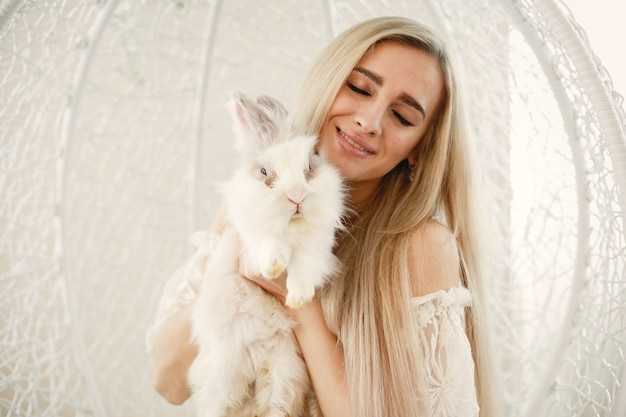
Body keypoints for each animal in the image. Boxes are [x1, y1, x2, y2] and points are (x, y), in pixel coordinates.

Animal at [189, 93, 346, 416]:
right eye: (264, 173)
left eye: (309, 167)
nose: (297, 198)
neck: (291, 227)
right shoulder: (251, 237)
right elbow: (270, 243)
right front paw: (274, 266)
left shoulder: (317, 249)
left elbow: (304, 266)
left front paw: (297, 297)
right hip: (222, 382)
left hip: (284, 379)